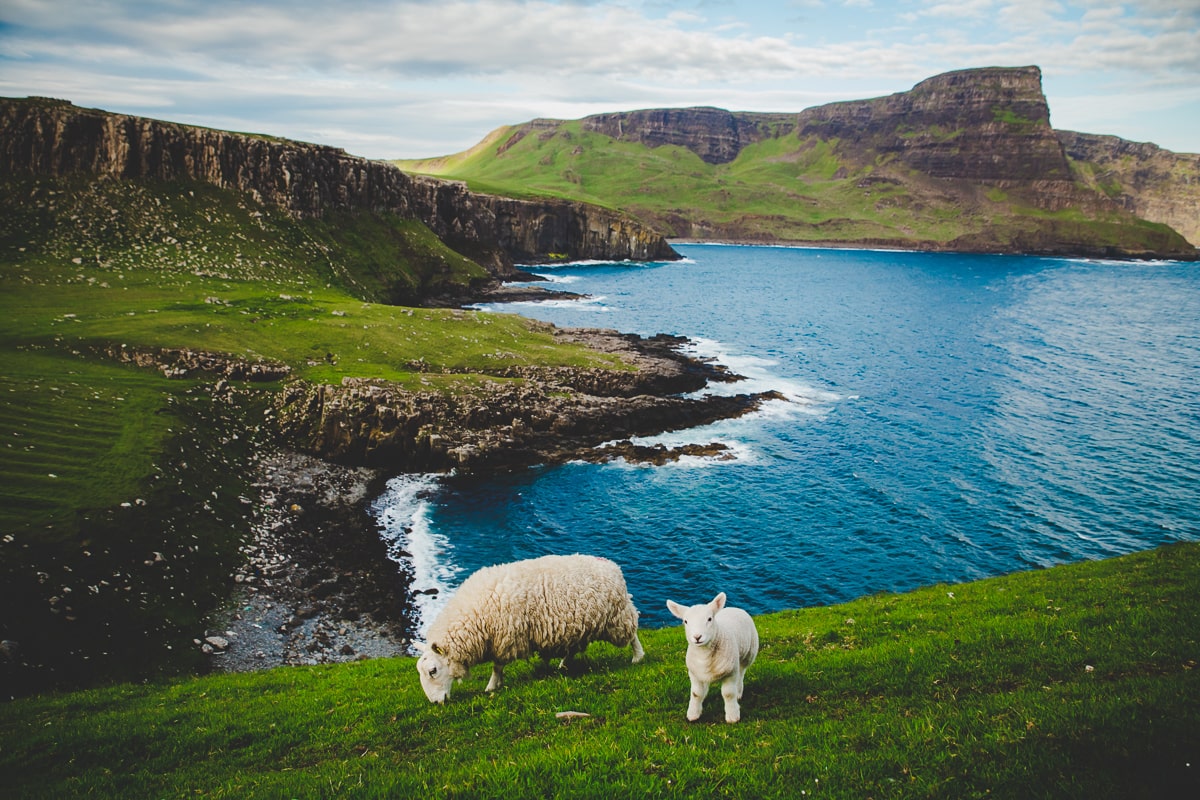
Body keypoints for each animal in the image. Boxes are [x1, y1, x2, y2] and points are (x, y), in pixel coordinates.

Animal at [412, 554, 643, 705]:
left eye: (433, 671)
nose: (435, 703)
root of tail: (611, 565)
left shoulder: (506, 637)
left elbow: (497, 665)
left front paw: (491, 686)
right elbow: (498, 666)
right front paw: (497, 683)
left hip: (617, 616)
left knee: (632, 634)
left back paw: (637, 657)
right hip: (580, 625)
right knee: (574, 647)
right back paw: (563, 665)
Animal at [667, 587, 758, 724]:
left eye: (709, 619)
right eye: (685, 621)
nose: (697, 637)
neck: (704, 656)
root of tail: (734, 608)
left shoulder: (730, 672)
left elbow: (728, 694)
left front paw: (732, 716)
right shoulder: (694, 673)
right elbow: (696, 693)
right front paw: (693, 714)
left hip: (747, 655)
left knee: (741, 673)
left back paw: (738, 691)